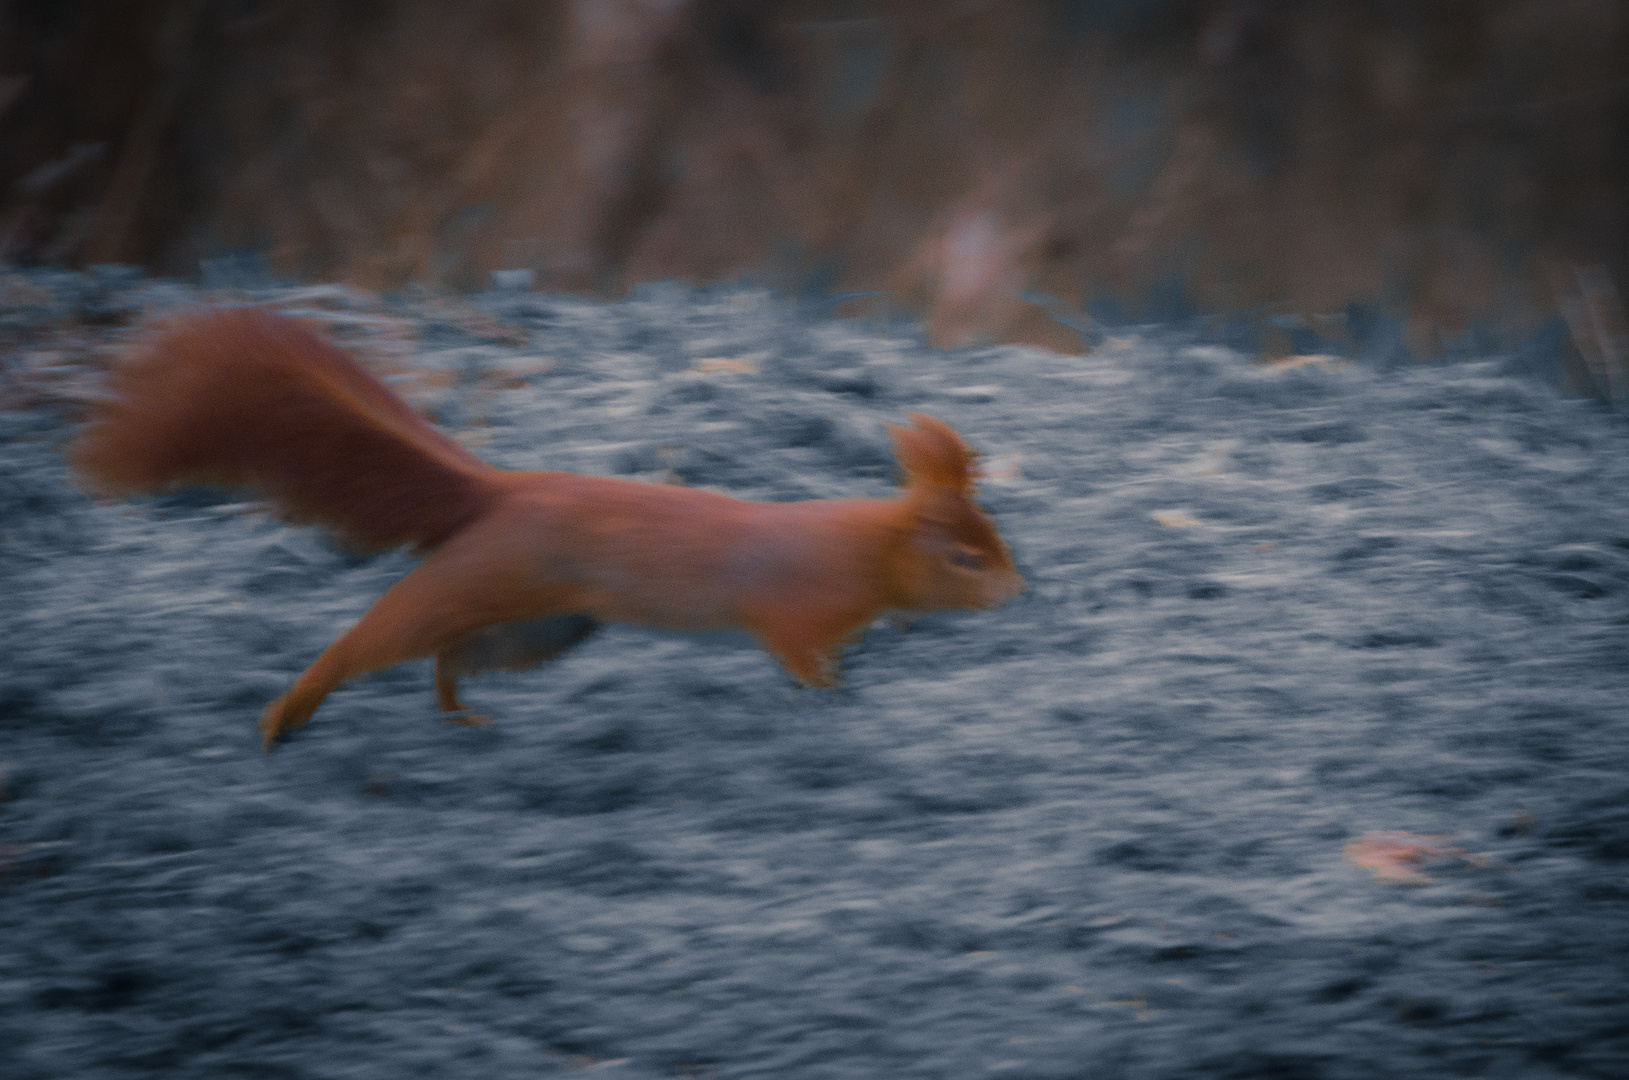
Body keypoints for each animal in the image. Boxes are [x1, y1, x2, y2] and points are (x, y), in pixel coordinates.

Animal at [76, 304, 1023, 742]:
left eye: (994, 542)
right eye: (964, 559)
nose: (1016, 592)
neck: (861, 550)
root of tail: (502, 492)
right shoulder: (789, 610)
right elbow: (796, 654)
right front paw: (829, 696)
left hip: (544, 627)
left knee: (449, 659)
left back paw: (461, 719)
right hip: (485, 583)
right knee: (379, 638)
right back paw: (289, 713)